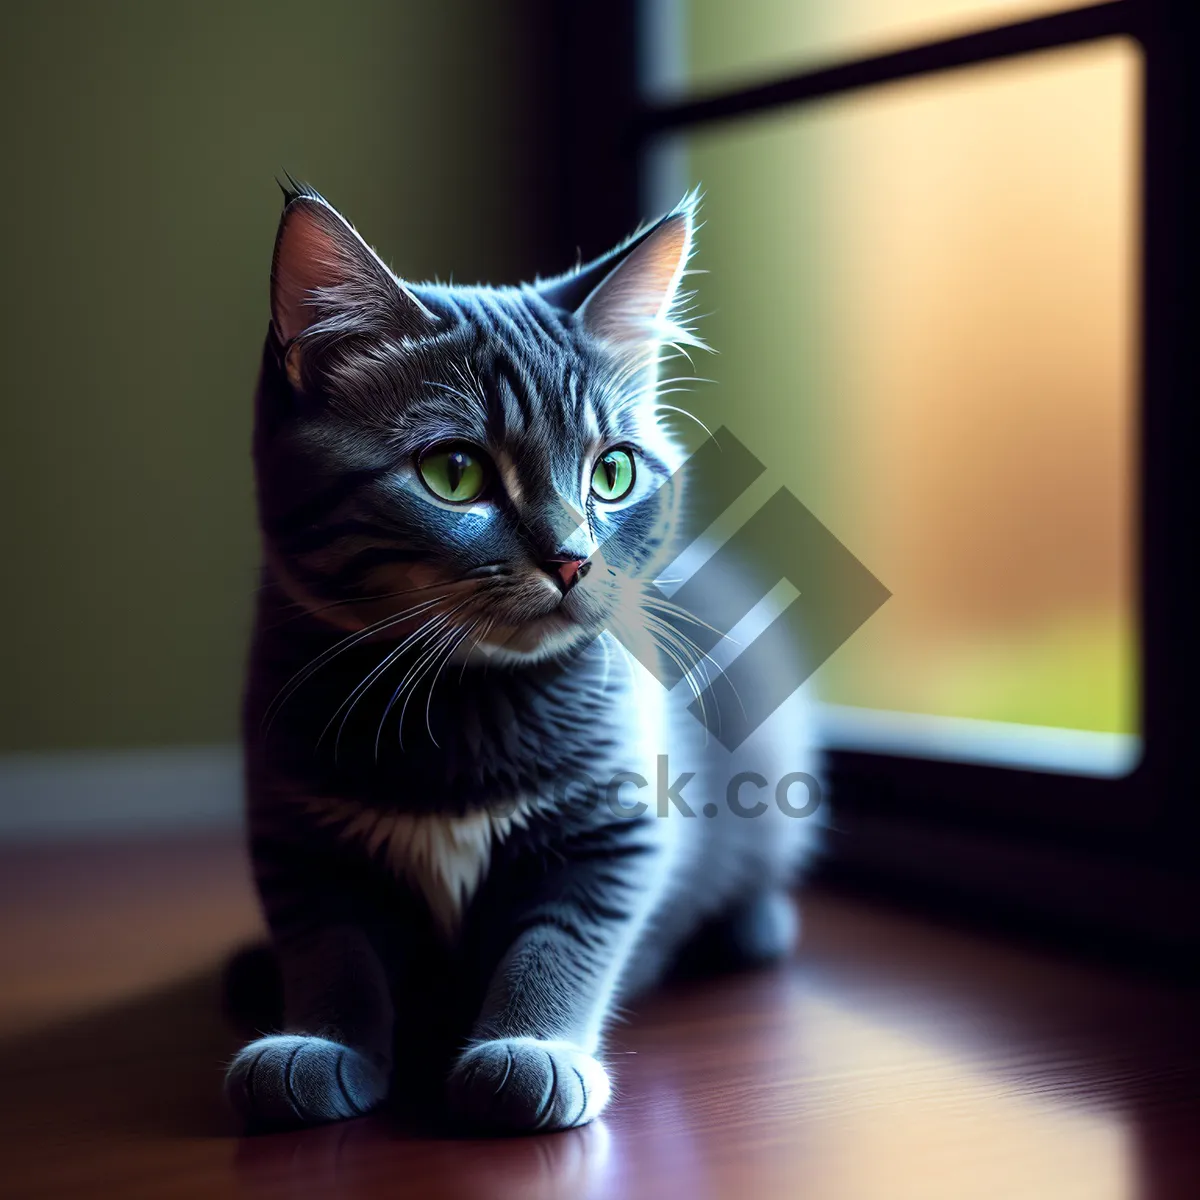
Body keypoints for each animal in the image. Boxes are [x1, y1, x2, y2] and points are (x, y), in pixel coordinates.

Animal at [225, 177, 820, 1132]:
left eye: (612, 472)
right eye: (455, 473)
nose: (572, 557)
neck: (461, 695)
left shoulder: (616, 825)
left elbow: (561, 944)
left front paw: (533, 1048)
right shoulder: (296, 828)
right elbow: (330, 945)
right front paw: (317, 1040)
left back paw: (749, 926)